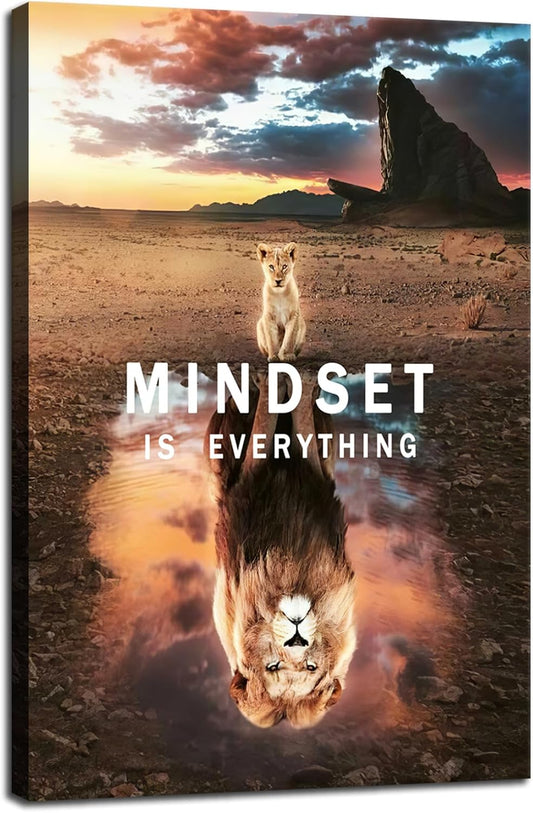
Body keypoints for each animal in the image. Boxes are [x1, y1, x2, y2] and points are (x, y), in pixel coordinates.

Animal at [205, 373, 357, 728]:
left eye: (311, 667)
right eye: (272, 666)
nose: (297, 634)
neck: (291, 575)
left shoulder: (316, 471)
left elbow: (300, 423)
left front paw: (296, 381)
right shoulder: (250, 473)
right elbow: (267, 421)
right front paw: (277, 377)